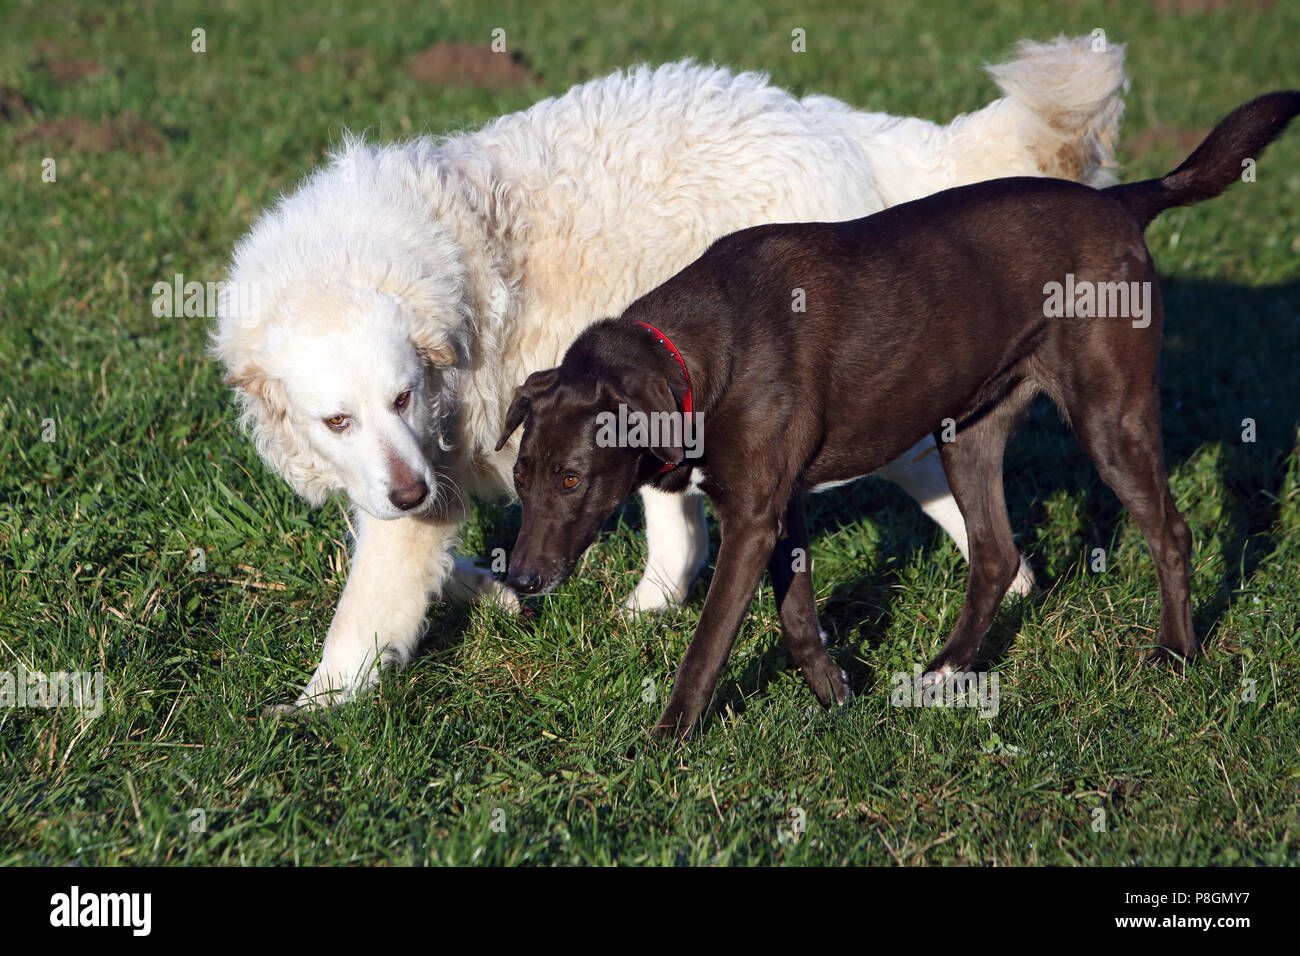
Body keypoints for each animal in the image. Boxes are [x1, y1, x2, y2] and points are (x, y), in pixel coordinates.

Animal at [213, 35, 1128, 712]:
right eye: (337, 421)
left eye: (401, 398)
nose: (404, 492)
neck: (365, 257)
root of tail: (834, 123)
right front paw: (496, 594)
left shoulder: (421, 486)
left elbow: (365, 610)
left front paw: (316, 709)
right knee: (688, 524)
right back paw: (652, 605)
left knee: (912, 466)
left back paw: (1010, 581)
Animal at [496, 91, 1300, 738]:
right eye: (523, 476)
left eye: (572, 480)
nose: (524, 581)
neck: (695, 354)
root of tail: (1121, 202)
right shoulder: (780, 507)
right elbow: (797, 618)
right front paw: (834, 695)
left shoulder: (751, 519)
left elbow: (708, 644)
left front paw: (668, 739)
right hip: (968, 431)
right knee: (996, 555)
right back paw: (946, 669)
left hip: (1110, 414)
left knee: (1168, 530)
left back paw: (1174, 653)